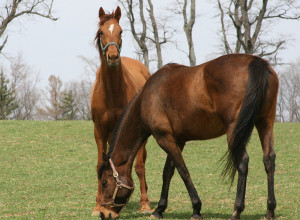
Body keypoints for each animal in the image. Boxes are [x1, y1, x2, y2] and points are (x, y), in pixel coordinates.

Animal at [89, 6, 151, 217]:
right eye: (101, 32)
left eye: (121, 31)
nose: (113, 57)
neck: (113, 92)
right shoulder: (99, 131)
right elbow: (100, 165)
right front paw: (98, 206)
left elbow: (139, 166)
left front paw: (145, 205)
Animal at [97, 53, 278, 220]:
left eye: (105, 182)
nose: (104, 213)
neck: (146, 99)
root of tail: (255, 62)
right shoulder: (177, 140)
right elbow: (168, 172)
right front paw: (159, 209)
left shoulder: (164, 139)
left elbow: (182, 171)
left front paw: (196, 209)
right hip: (265, 123)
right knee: (268, 160)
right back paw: (270, 210)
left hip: (235, 132)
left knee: (242, 162)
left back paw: (236, 210)